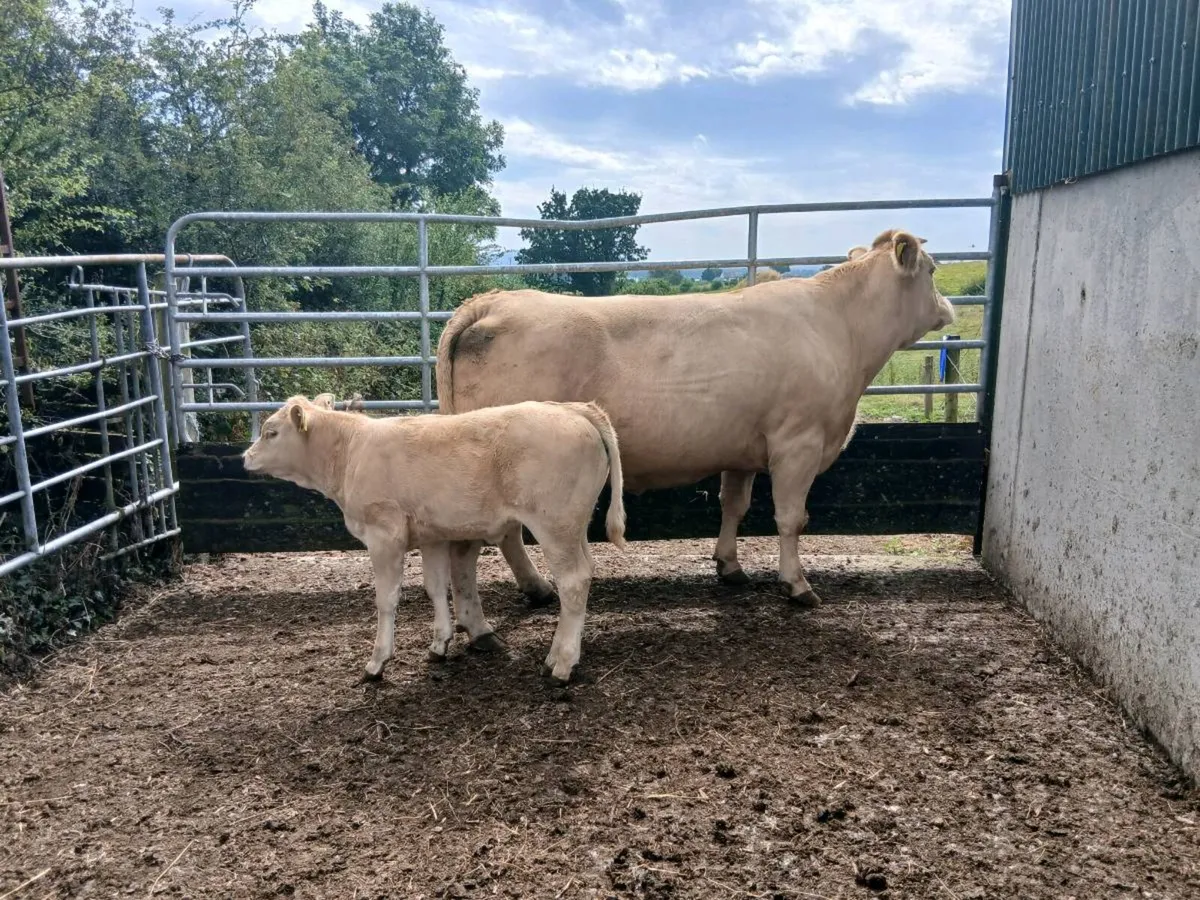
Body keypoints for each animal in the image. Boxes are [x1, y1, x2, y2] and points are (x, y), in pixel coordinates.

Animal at [242, 394, 626, 685]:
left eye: (271, 432)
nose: (245, 457)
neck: (352, 451)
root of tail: (572, 408)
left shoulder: (384, 536)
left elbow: (386, 599)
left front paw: (377, 662)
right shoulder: (432, 535)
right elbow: (436, 586)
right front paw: (440, 642)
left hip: (554, 524)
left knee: (573, 581)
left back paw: (562, 664)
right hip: (573, 527)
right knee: (587, 572)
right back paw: (557, 656)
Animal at [435, 228, 954, 607]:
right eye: (932, 270)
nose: (948, 307)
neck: (840, 328)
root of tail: (493, 300)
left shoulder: (743, 450)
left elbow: (734, 506)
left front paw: (730, 566)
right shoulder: (799, 442)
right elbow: (791, 518)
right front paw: (797, 585)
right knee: (508, 532)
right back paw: (538, 587)